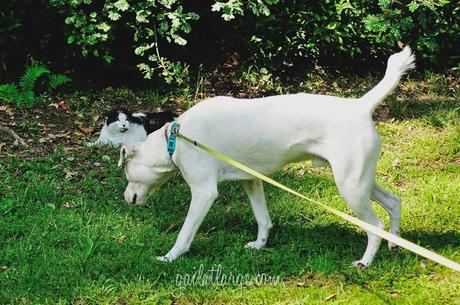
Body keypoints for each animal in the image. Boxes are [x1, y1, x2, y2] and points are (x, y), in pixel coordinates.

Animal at [120, 46, 416, 268]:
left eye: (126, 172)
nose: (125, 198)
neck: (176, 139)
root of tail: (360, 106)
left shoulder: (204, 192)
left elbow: (185, 233)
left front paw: (170, 256)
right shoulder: (251, 181)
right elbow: (263, 219)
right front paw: (260, 245)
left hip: (351, 186)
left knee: (375, 225)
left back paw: (365, 261)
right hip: (360, 181)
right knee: (394, 202)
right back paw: (394, 242)